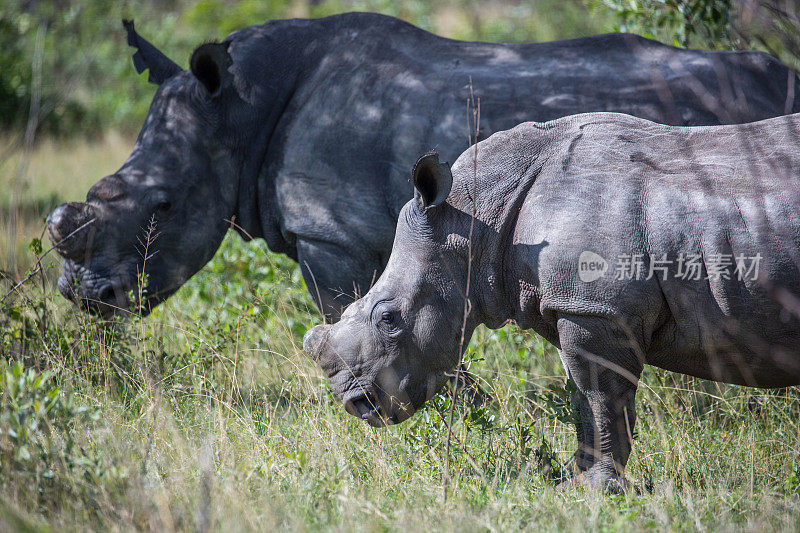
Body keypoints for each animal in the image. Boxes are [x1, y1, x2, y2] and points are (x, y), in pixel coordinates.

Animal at [304, 111, 800, 486]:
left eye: (389, 317)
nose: (355, 405)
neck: (476, 220)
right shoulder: (580, 307)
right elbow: (585, 400)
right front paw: (573, 483)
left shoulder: (598, 309)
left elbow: (601, 397)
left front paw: (598, 490)